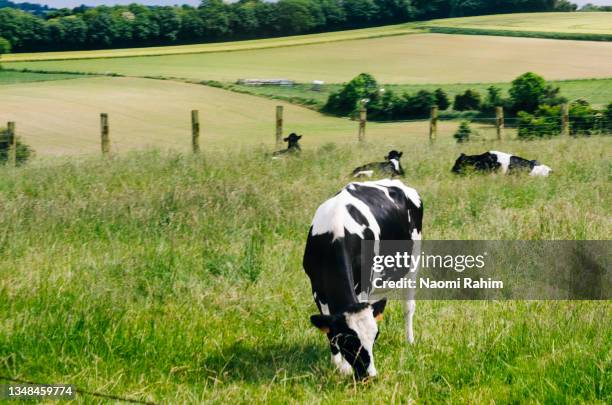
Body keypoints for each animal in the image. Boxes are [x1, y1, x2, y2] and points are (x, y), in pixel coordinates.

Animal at [302, 179, 420, 378]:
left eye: (375, 336)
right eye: (348, 341)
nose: (369, 375)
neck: (336, 233)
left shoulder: (363, 285)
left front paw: (344, 367)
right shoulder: (316, 288)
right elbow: (329, 328)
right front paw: (339, 365)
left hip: (413, 262)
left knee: (408, 307)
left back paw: (410, 340)